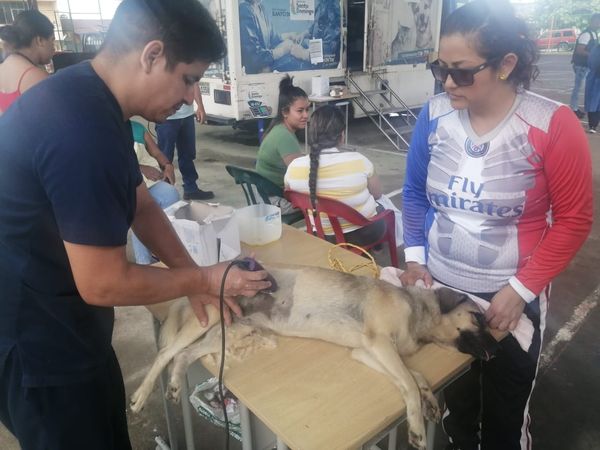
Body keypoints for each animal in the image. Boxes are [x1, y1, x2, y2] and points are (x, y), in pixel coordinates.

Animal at [131, 264, 498, 450]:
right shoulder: (379, 344)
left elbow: (415, 377)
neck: (419, 314)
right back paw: (140, 396)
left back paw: (175, 386)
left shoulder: (366, 352)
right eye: (479, 318)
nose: (496, 352)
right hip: (205, 325)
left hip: (224, 334)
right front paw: (418, 427)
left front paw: (429, 400)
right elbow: (408, 381)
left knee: (184, 354)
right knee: (165, 352)